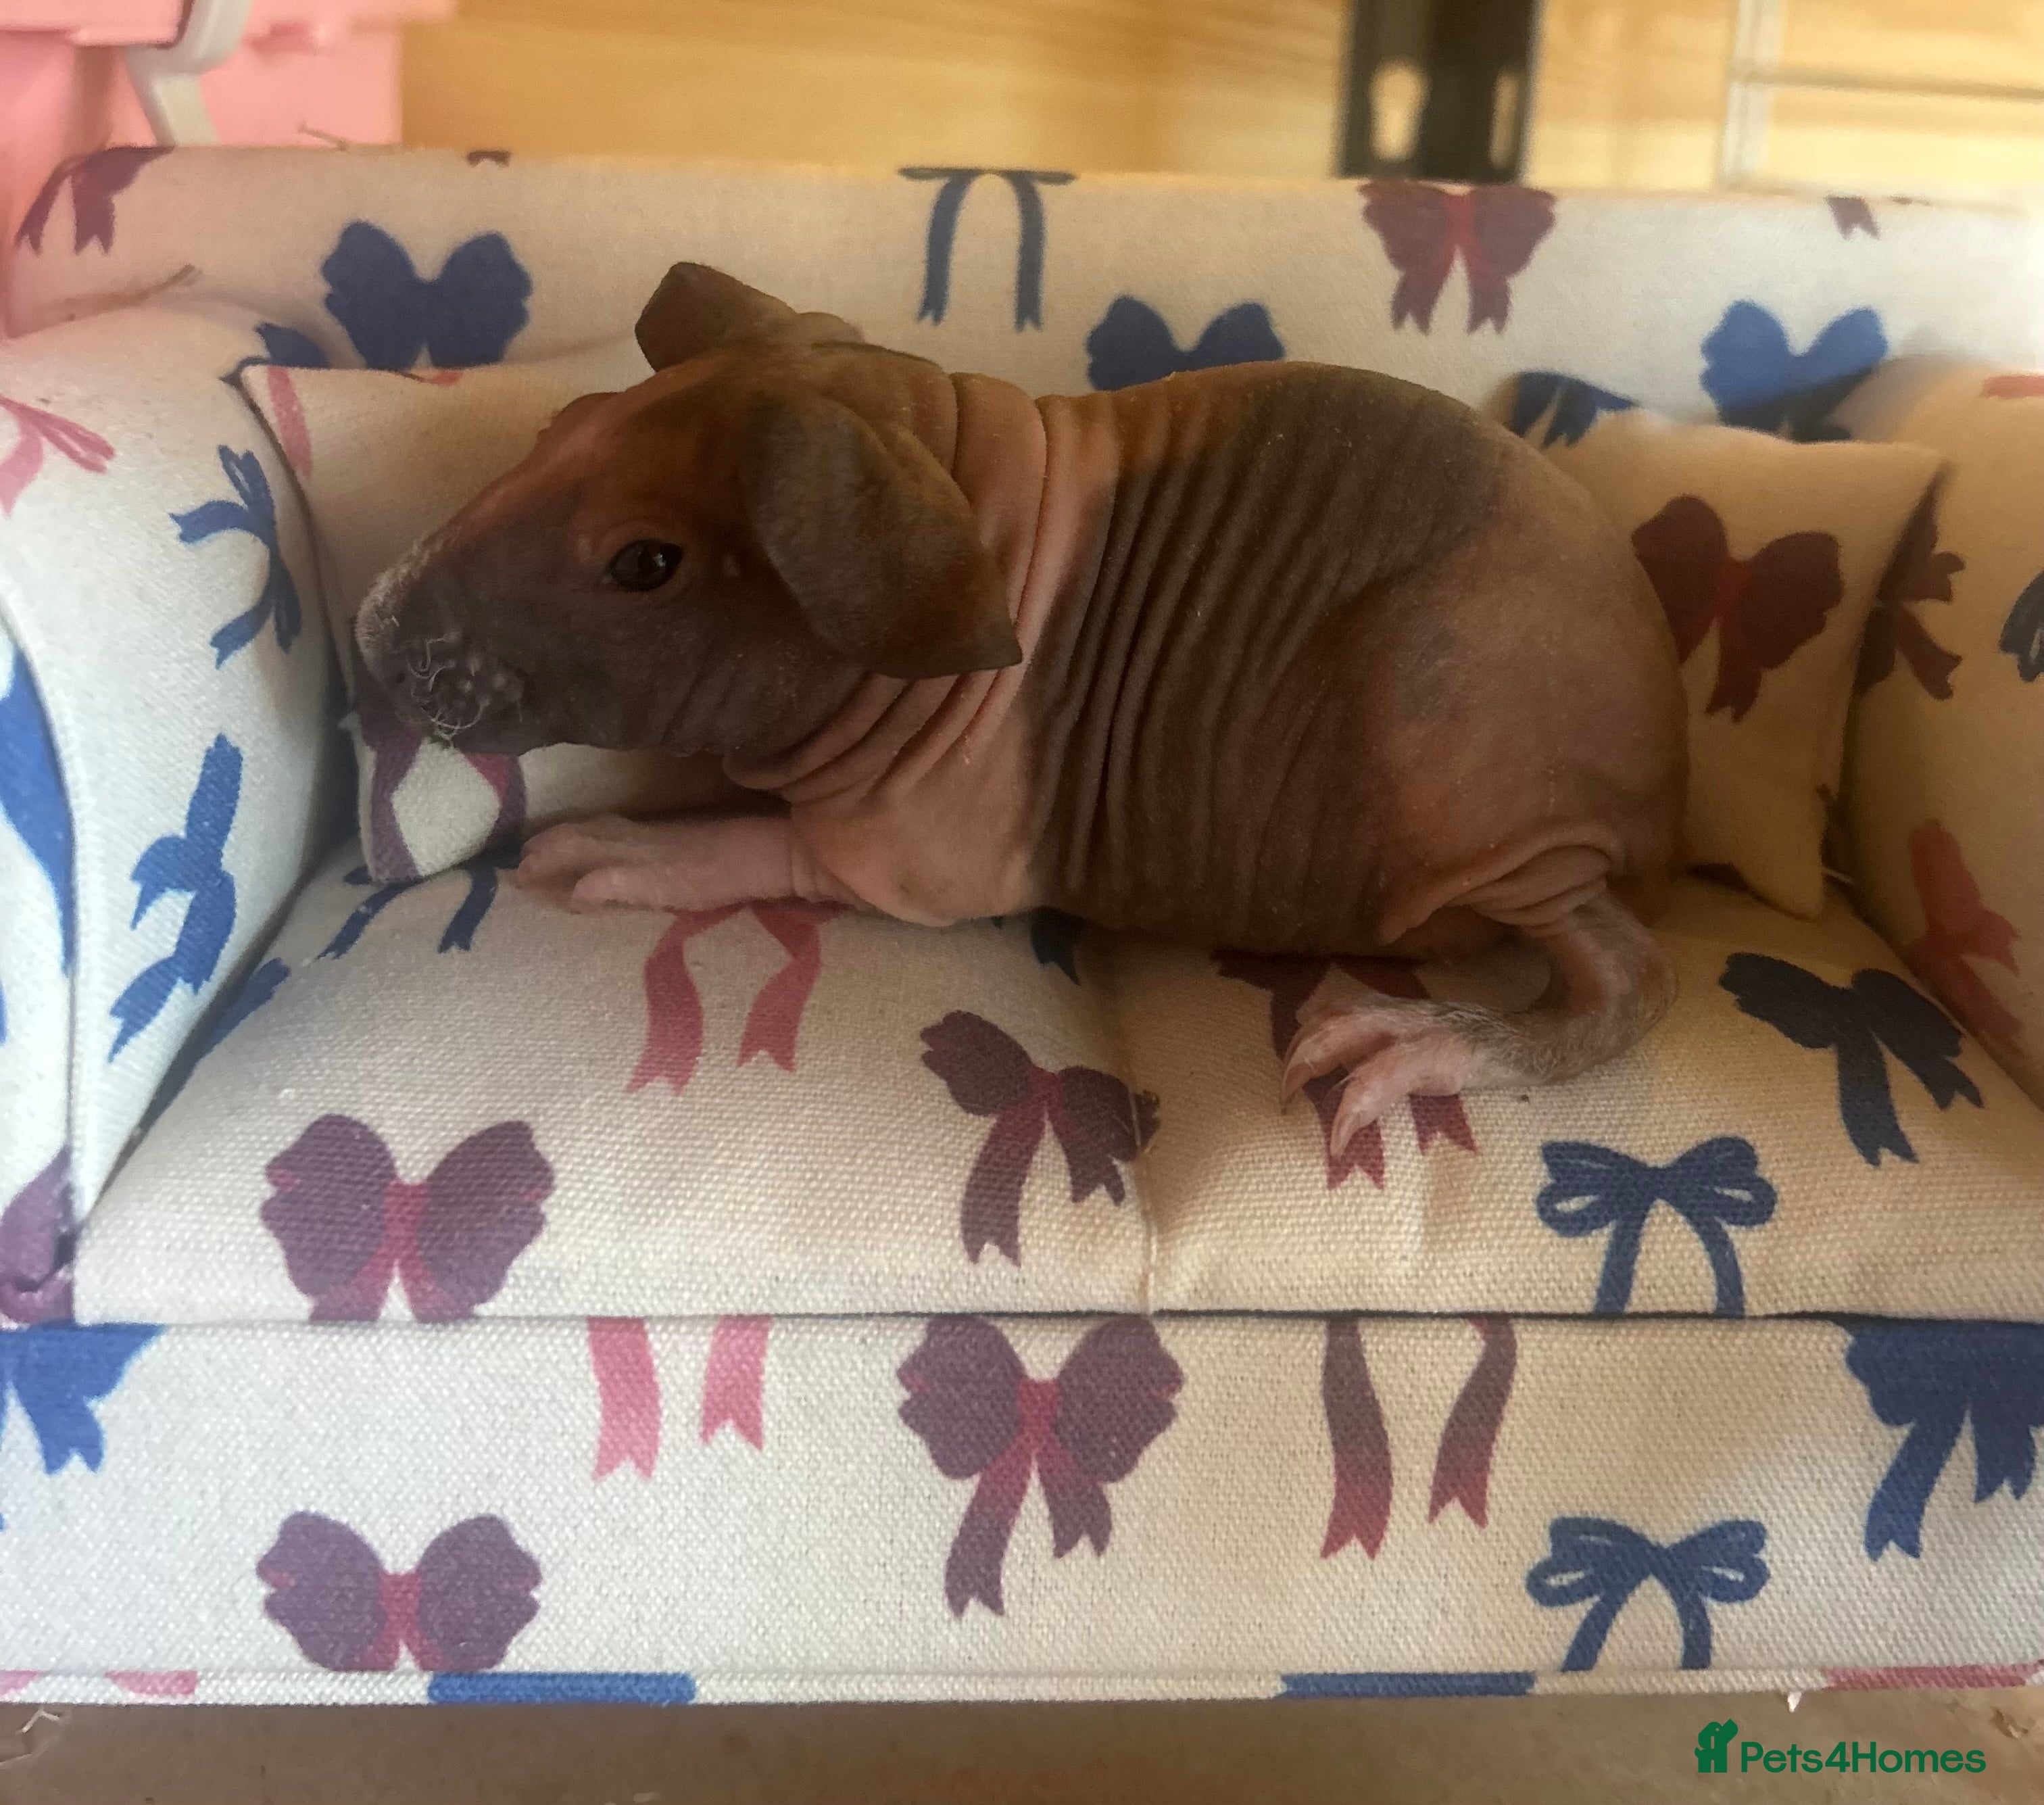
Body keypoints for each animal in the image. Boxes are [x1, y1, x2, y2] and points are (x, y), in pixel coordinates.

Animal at [354, 263, 1686, 1151]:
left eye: (642, 565)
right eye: (557, 427)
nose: (371, 636)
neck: (957, 484)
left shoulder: (911, 856)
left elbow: (768, 847)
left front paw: (630, 850)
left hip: (1462, 764)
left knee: (1624, 977)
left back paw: (1433, 1041)